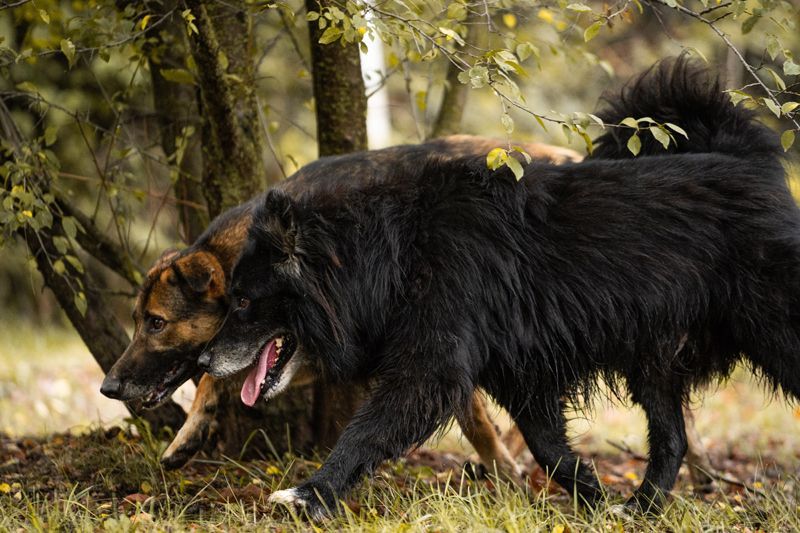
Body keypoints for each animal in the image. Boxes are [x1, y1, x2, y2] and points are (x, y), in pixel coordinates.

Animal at [100, 135, 581, 476]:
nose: (108, 388)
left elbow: (472, 414)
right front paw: (189, 434)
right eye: (137, 320)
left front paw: (501, 465)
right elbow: (225, 377)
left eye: (157, 323)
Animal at [200, 57, 796, 519]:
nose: (204, 361)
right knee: (671, 436)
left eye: (245, 302)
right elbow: (548, 446)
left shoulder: (440, 346)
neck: (392, 257)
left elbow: (375, 423)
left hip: (768, 320)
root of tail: (753, 164)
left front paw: (308, 493)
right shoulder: (517, 366)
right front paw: (594, 497)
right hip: (653, 351)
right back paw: (641, 508)